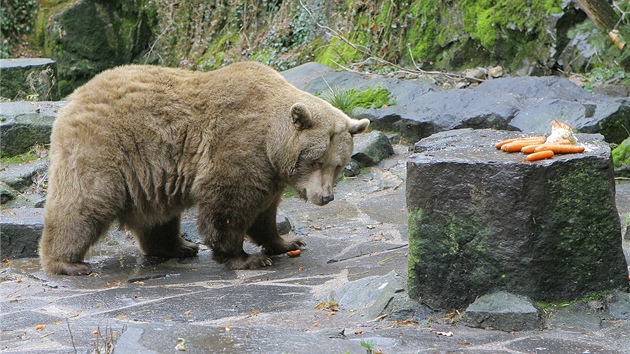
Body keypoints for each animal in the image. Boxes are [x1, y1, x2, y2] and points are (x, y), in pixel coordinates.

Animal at [38, 62, 370, 276]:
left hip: (150, 173)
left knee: (157, 215)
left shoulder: (269, 170)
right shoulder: (239, 143)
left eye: (338, 165)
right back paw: (68, 263)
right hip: (106, 147)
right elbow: (228, 203)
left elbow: (265, 213)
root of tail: (73, 98)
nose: (325, 197)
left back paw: (178, 247)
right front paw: (245, 258)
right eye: (315, 161)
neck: (270, 141)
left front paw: (287, 241)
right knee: (84, 203)